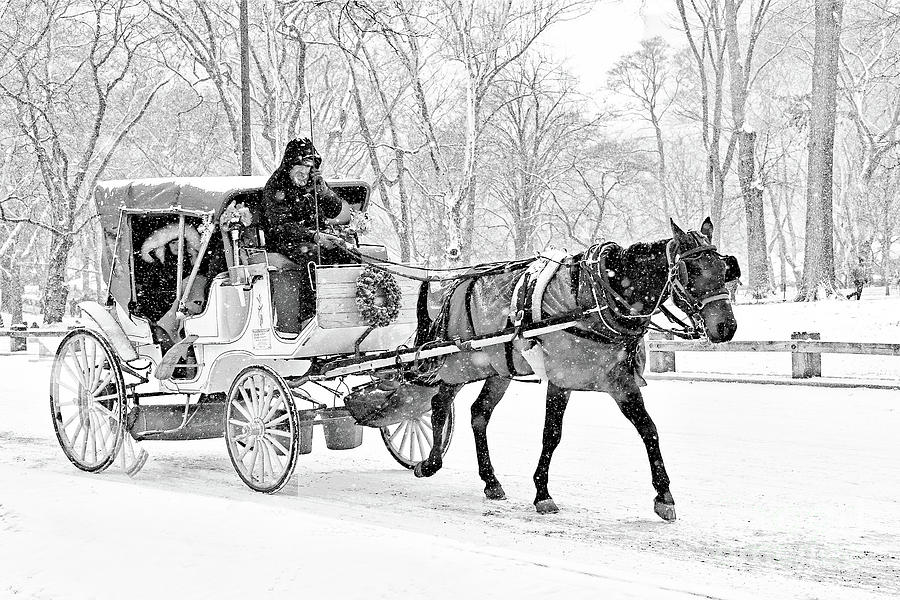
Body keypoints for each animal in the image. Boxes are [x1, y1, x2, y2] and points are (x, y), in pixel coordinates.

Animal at [412, 218, 736, 516]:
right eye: (693, 270)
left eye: (723, 268)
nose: (727, 327)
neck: (596, 297)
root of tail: (459, 282)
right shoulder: (561, 377)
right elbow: (551, 434)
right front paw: (542, 492)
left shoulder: (619, 381)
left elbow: (649, 429)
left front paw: (664, 495)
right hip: (461, 362)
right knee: (440, 404)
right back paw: (430, 462)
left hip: (500, 368)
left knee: (479, 413)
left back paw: (491, 481)